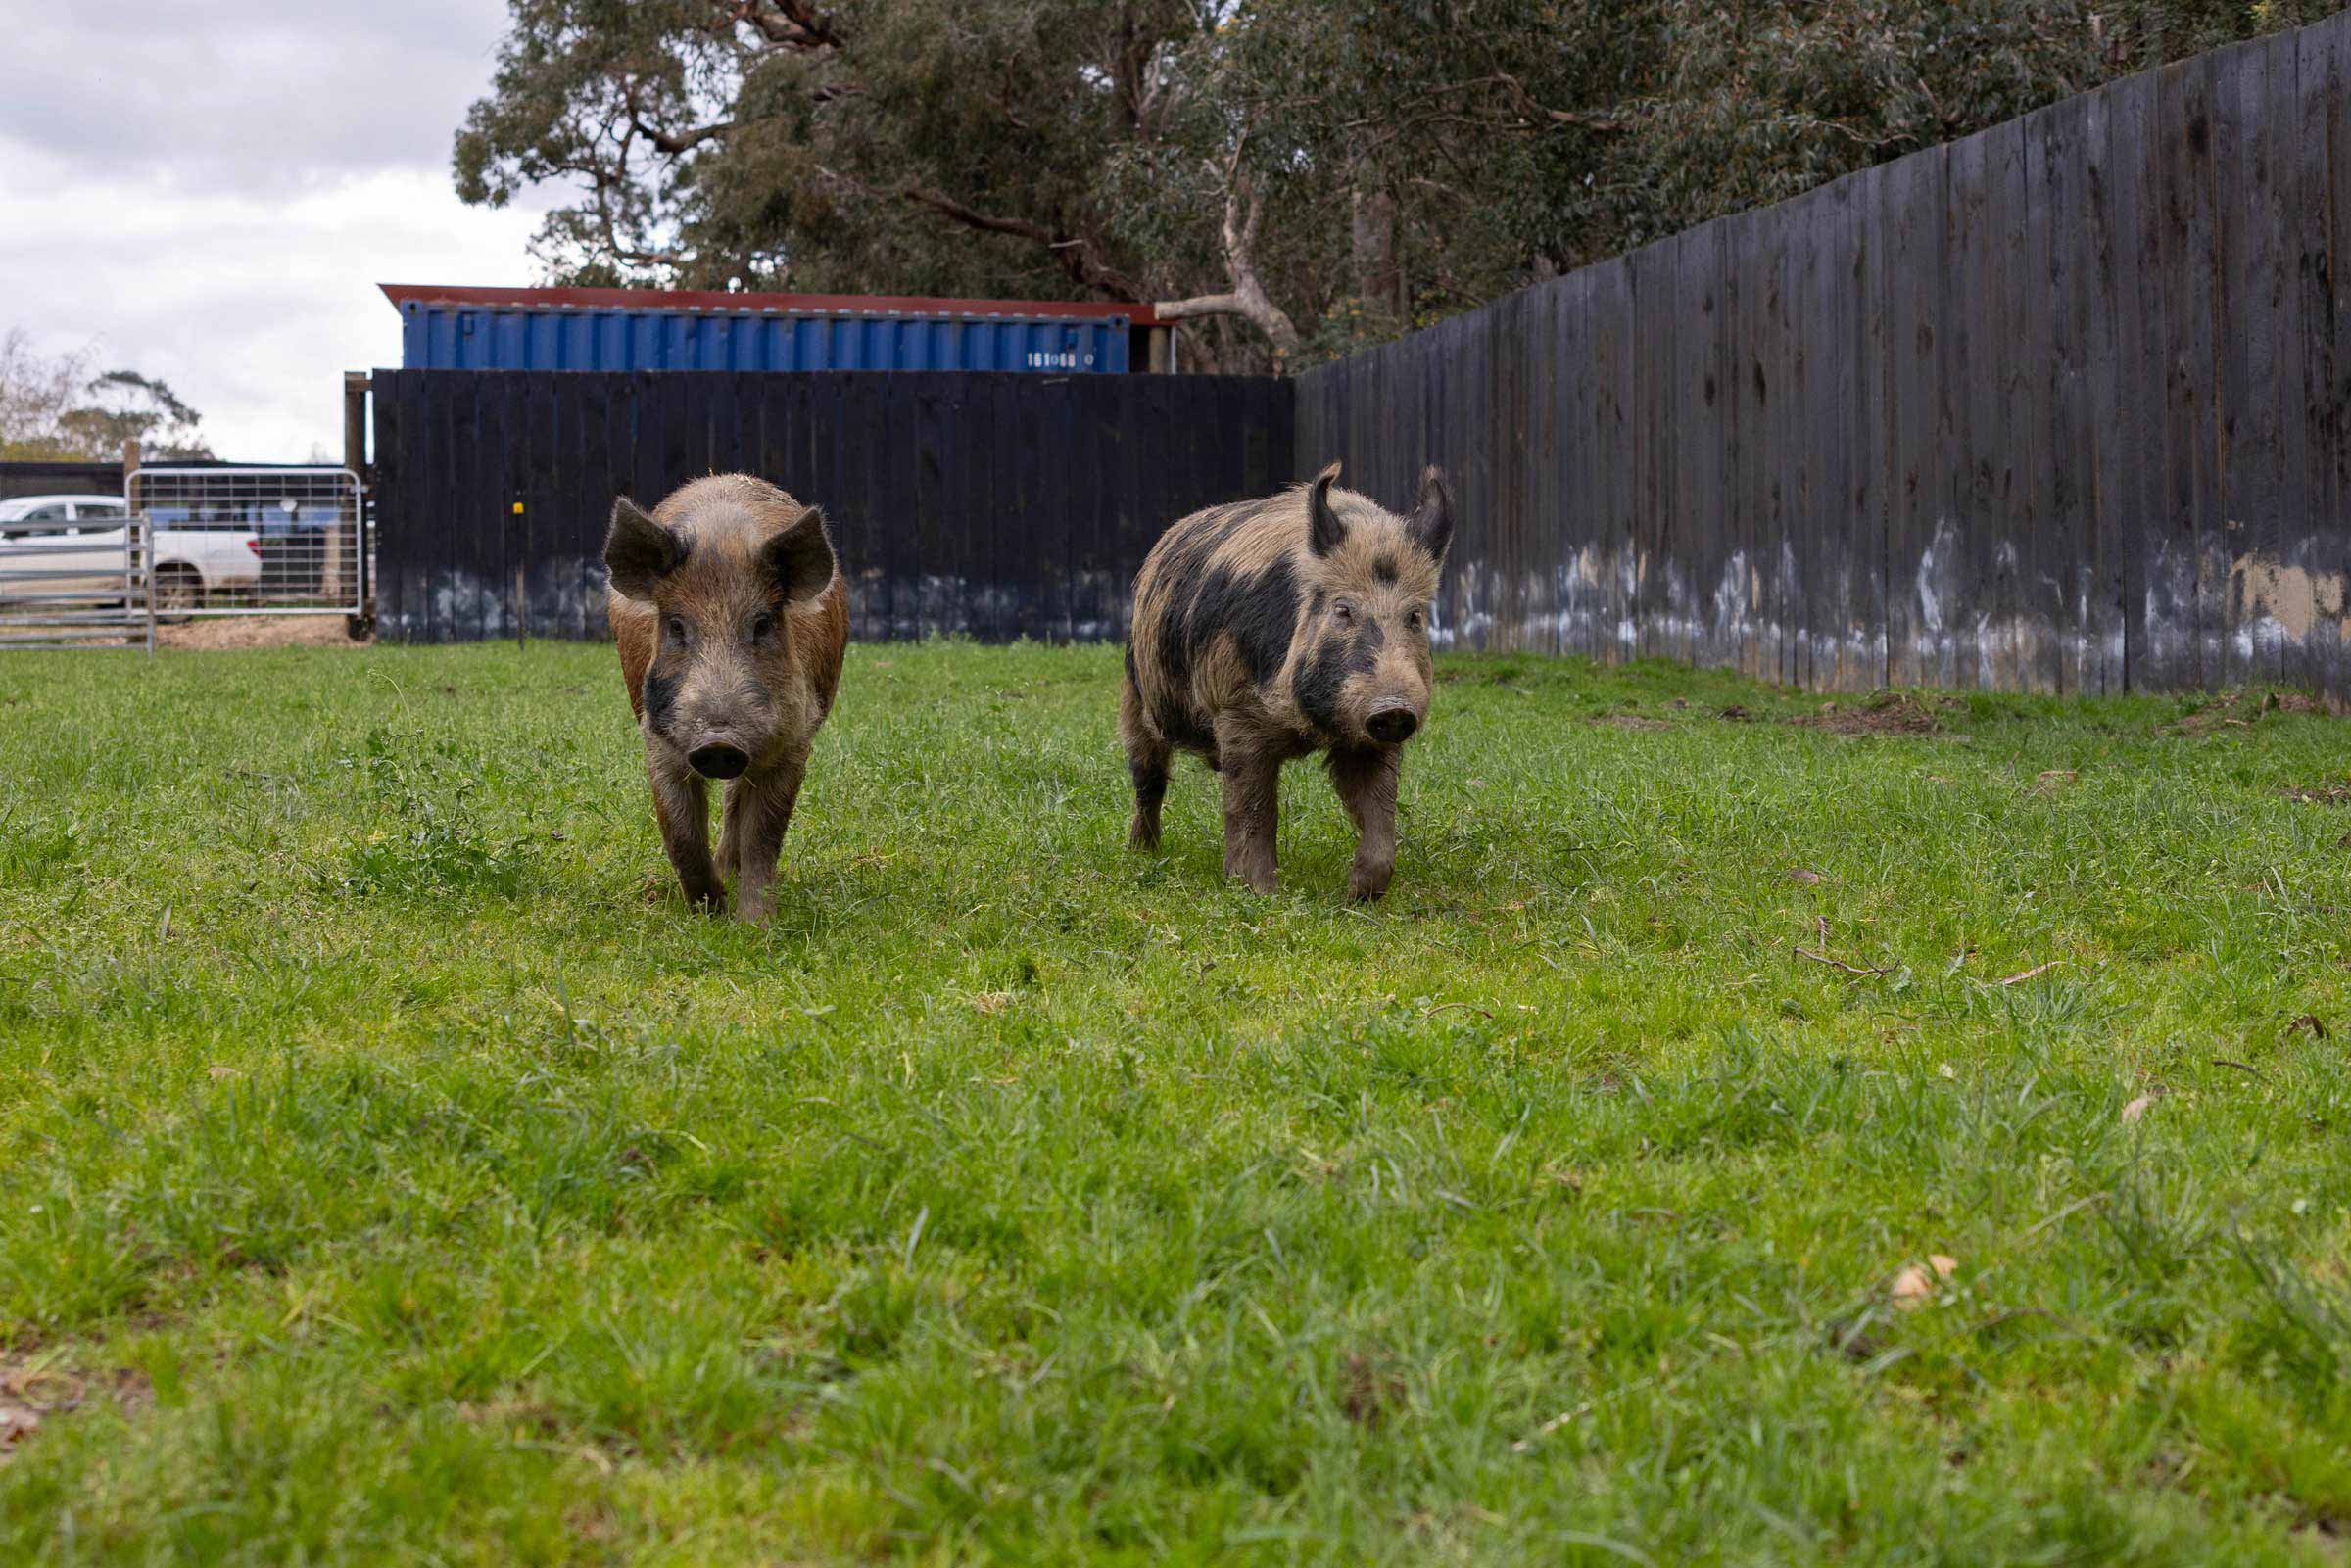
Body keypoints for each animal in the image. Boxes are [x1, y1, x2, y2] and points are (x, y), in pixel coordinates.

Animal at [601, 474, 850, 921]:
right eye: (676, 626)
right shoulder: (658, 740)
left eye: (763, 624)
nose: (719, 742)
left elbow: (763, 838)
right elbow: (680, 834)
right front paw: (709, 915)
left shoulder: (794, 742)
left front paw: (755, 924)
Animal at [1119, 460, 1448, 902]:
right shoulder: (1234, 708)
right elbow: (1255, 805)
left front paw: (1357, 896)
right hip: (1135, 692)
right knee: (1148, 779)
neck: (1305, 725)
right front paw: (1262, 892)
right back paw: (1143, 853)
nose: (1392, 707)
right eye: (1343, 610)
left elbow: (1379, 808)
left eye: (1414, 616)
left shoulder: (1371, 736)